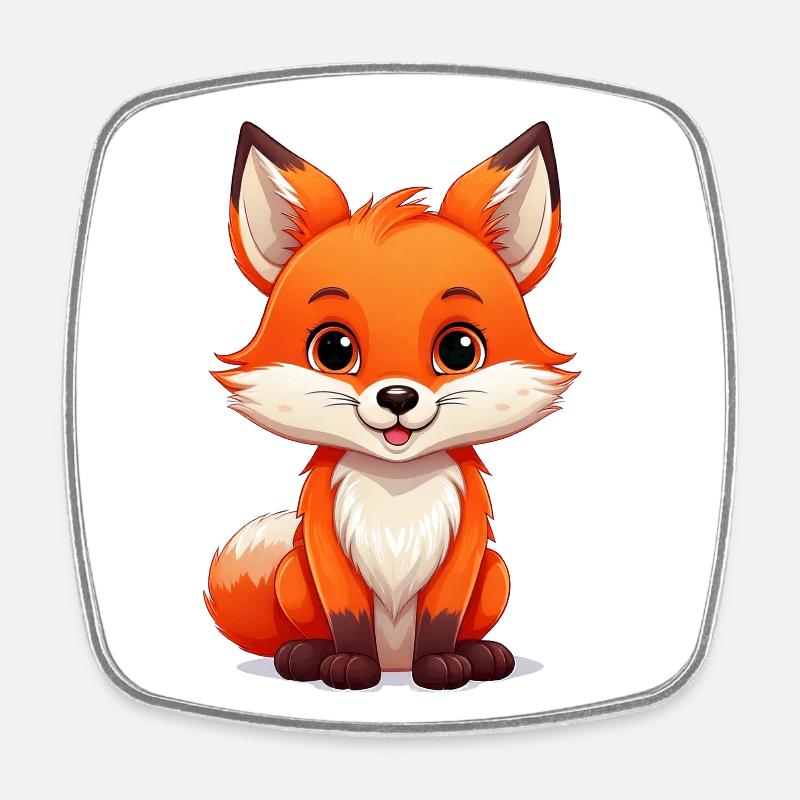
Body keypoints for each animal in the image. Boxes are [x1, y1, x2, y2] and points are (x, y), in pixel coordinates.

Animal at [204, 119, 577, 690]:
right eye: (334, 349)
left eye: (459, 349)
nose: (397, 396)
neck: (396, 489)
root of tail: (395, 662)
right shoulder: (325, 545)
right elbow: (349, 618)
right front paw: (349, 666)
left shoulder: (466, 549)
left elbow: (442, 619)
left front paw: (444, 665)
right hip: (292, 572)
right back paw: (307, 655)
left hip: (497, 574)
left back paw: (480, 654)